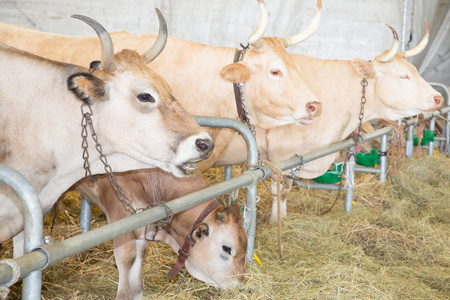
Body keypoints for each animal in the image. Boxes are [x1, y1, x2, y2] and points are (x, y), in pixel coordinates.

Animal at [71, 169, 248, 300]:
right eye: (227, 248)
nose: (239, 285)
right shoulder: (119, 215)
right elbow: (127, 257)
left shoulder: (142, 223)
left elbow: (139, 255)